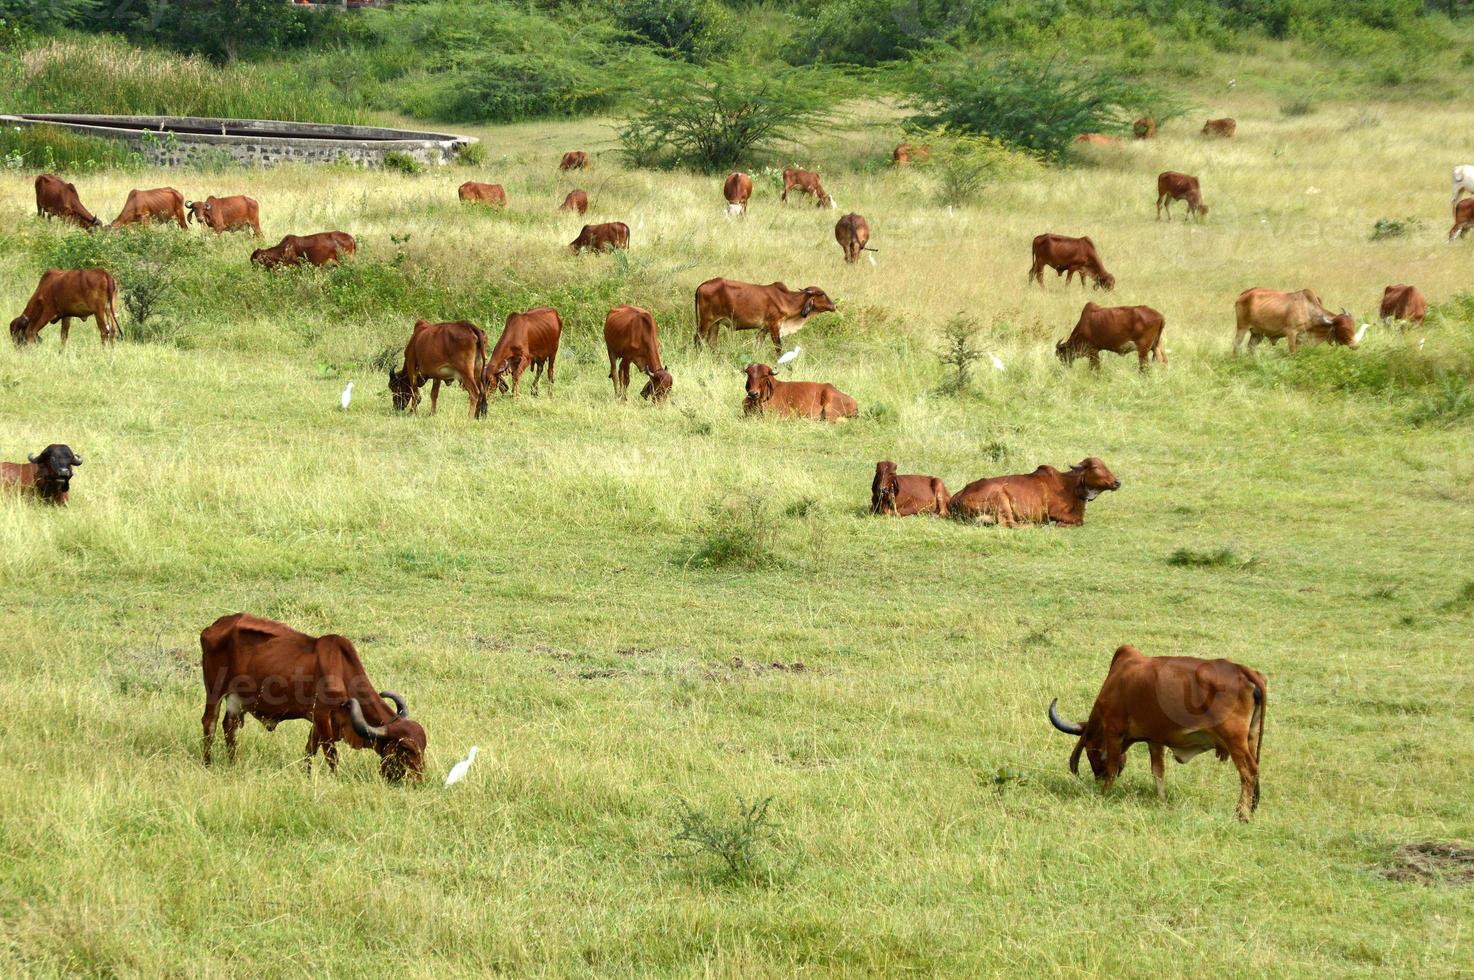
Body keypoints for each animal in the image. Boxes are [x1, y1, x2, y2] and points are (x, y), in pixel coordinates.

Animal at [198, 613, 427, 778]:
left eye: (423, 745)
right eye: (406, 749)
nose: (418, 780)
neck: (342, 671)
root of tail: (214, 626)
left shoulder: (318, 721)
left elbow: (310, 750)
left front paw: (307, 776)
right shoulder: (323, 717)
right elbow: (331, 754)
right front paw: (336, 779)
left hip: (236, 700)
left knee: (229, 727)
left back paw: (233, 764)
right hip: (214, 691)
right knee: (210, 723)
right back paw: (207, 764)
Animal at [692, 275, 837, 352]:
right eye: (822, 294)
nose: (834, 306)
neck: (786, 299)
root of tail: (702, 285)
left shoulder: (764, 328)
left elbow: (758, 345)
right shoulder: (774, 325)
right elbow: (778, 346)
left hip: (715, 323)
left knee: (712, 342)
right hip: (706, 321)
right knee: (698, 338)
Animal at [949, 459, 1120, 527]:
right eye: (1096, 467)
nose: (1117, 482)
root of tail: (956, 497)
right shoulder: (1054, 512)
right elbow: (1078, 521)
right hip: (1000, 499)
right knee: (1009, 524)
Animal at [1049, 645, 1267, 819]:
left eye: (1089, 749)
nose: (1097, 778)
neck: (1117, 680)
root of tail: (1241, 670)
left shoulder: (1114, 730)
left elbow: (1111, 765)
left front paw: (1105, 792)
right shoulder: (1154, 740)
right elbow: (1158, 771)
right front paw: (1161, 800)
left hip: (1234, 740)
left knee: (1248, 772)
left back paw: (1242, 814)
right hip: (1251, 738)